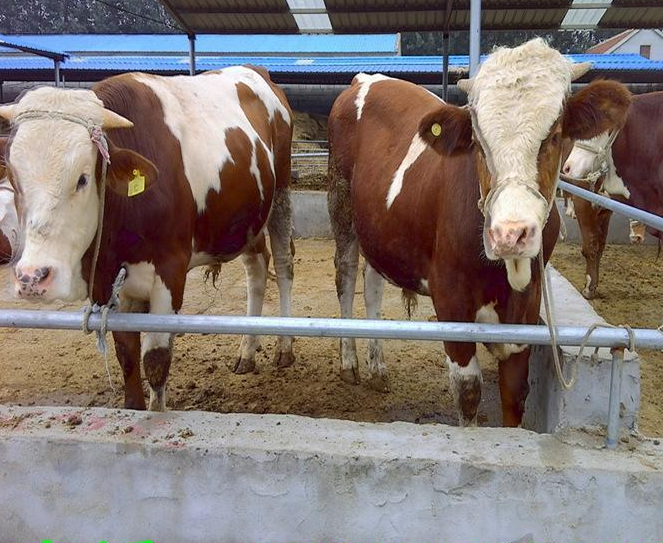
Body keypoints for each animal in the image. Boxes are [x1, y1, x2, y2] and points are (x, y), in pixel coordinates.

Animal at [0, 66, 296, 410]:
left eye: (83, 179)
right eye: (14, 179)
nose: (33, 278)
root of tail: (255, 70)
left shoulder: (169, 273)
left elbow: (156, 360)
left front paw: (157, 412)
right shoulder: (108, 284)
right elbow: (127, 356)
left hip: (281, 192)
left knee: (284, 265)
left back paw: (285, 346)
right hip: (247, 217)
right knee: (257, 270)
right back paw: (247, 351)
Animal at [564, 91, 660, 300]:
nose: (567, 168)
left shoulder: (604, 208)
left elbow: (599, 245)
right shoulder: (584, 201)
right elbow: (592, 246)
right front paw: (589, 286)